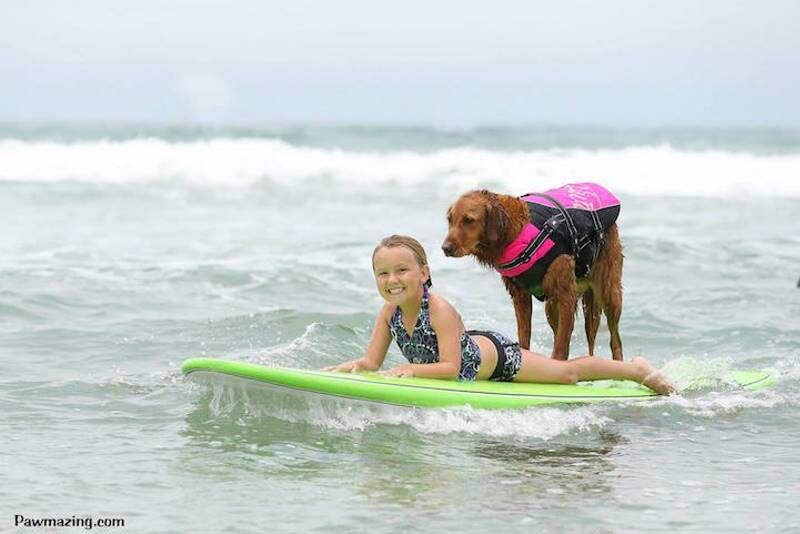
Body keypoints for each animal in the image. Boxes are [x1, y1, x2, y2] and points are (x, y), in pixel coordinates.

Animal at [444, 182, 624, 362]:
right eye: (450, 220)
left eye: (469, 220)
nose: (445, 248)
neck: (514, 232)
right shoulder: (520, 295)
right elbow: (525, 337)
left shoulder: (566, 293)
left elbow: (561, 344)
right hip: (551, 307)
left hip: (608, 293)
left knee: (615, 340)